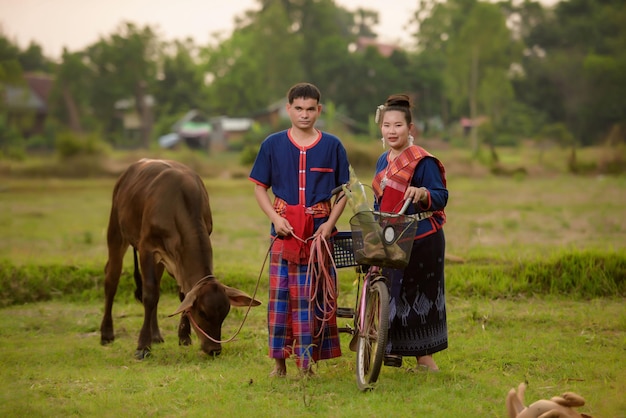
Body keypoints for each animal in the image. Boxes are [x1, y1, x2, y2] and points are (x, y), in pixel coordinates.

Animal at [98, 158, 260, 360]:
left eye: (224, 314)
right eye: (202, 313)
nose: (214, 349)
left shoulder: (176, 259)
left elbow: (182, 294)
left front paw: (184, 336)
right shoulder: (147, 248)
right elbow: (149, 295)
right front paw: (143, 346)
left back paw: (156, 335)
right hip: (116, 231)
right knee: (112, 279)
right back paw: (107, 334)